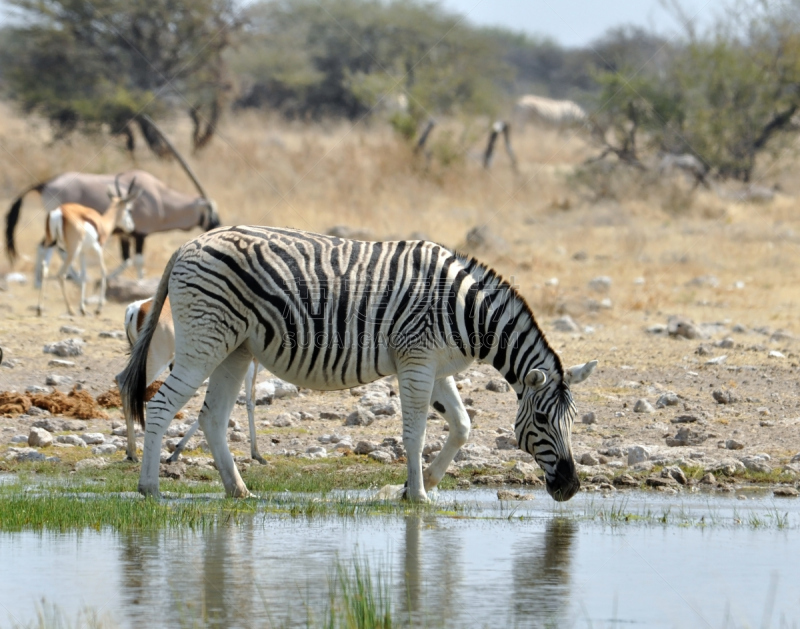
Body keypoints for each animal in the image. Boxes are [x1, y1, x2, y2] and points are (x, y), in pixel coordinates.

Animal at [37, 175, 138, 314]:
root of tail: (59, 212)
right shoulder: (98, 248)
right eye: (129, 210)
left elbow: (84, 275)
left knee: (45, 269)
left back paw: (40, 308)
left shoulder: (83, 253)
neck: (102, 223)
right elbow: (103, 271)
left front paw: (83, 308)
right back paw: (70, 309)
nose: (131, 227)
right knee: (61, 274)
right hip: (72, 250)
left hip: (51, 244)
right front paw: (99, 307)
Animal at [117, 226, 592, 500]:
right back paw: (150, 488)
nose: (571, 487)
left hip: (236, 349)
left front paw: (425, 480)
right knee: (160, 406)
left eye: (572, 421)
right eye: (544, 421)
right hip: (204, 342)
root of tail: (187, 244)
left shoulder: (433, 366)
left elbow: (461, 425)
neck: (465, 310)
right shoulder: (416, 361)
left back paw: (238, 490)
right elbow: (415, 433)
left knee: (213, 417)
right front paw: (417, 495)